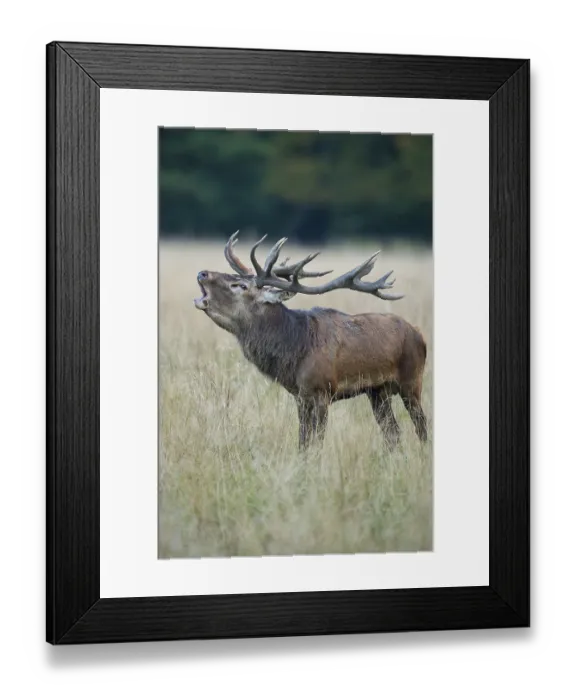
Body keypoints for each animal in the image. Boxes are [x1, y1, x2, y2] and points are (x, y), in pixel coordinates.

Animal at [194, 232, 428, 450]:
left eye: (240, 285)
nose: (202, 273)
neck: (295, 349)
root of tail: (420, 335)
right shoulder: (301, 396)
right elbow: (303, 442)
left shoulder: (322, 391)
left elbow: (316, 443)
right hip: (378, 391)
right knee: (393, 432)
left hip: (412, 380)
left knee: (421, 425)